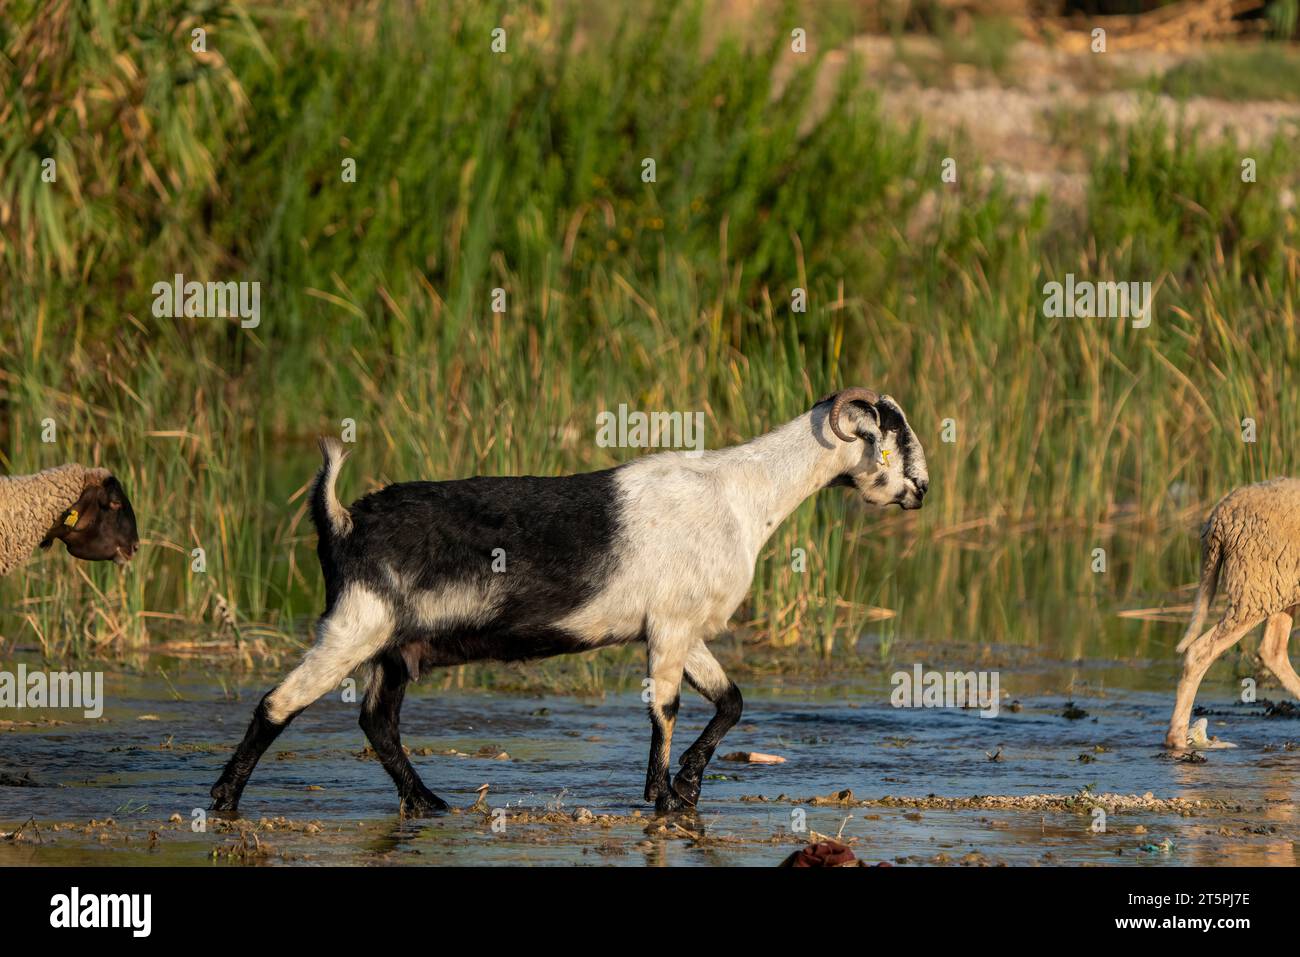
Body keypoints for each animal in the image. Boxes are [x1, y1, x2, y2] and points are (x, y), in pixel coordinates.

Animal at [211, 387, 929, 816]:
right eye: (892, 435)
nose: (920, 490)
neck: (744, 492)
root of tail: (343, 520)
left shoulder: (683, 629)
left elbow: (731, 700)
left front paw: (688, 786)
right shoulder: (670, 625)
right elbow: (666, 708)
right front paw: (661, 797)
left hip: (392, 647)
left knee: (377, 722)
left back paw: (428, 802)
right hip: (355, 626)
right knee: (279, 703)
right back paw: (223, 799)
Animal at [1165, 478, 1300, 749]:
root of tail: (1218, 516)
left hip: (1277, 587)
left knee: (1272, 650)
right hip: (1256, 586)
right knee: (1199, 652)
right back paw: (1178, 740)